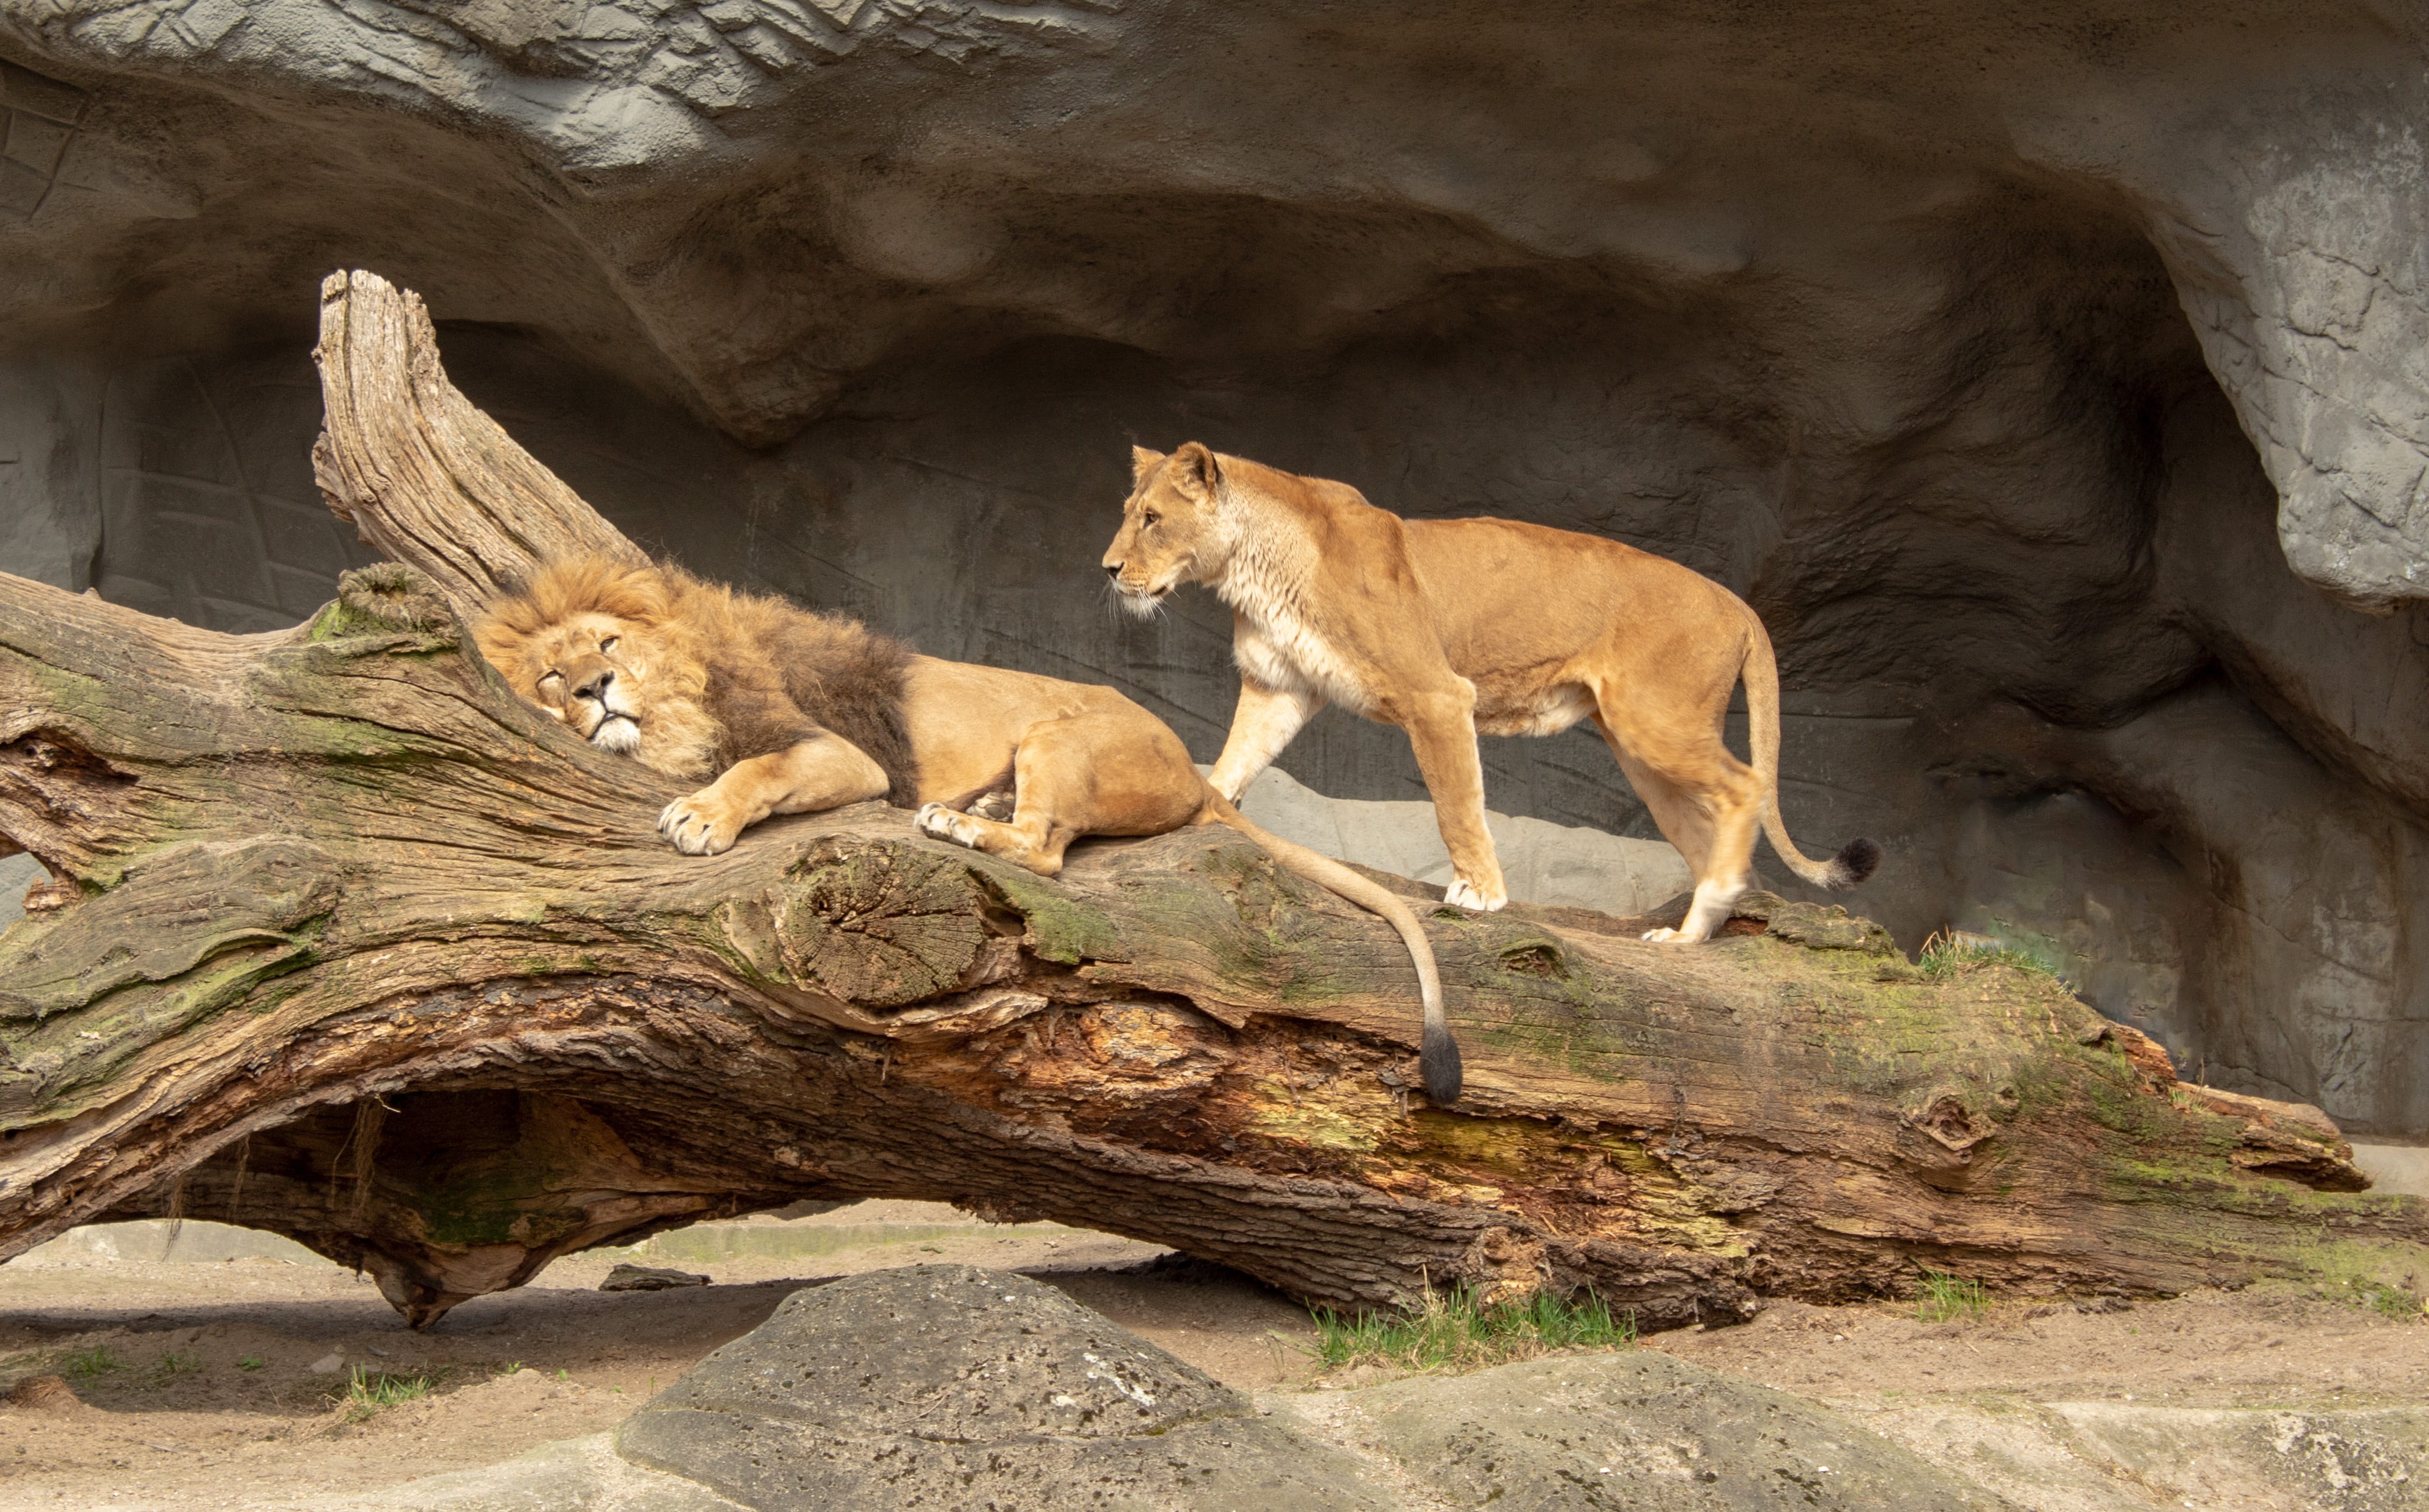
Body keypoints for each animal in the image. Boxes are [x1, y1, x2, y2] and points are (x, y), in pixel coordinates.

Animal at [473, 554, 1465, 1102]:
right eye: (553, 676)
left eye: (607, 646)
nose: (596, 689)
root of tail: (1192, 769)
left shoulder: (845, 756)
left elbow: (755, 769)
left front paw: (699, 812)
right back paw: (977, 808)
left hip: (1056, 732)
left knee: (1047, 853)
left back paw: (961, 823)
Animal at [1102, 444, 1880, 944]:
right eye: (1129, 511)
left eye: (1151, 519)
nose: (1108, 569)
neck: (1254, 567)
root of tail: (1736, 603)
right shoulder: (1280, 686)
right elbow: (1234, 760)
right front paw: (1199, 808)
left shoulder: (1437, 694)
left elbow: (1455, 804)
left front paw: (1479, 893)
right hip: (1643, 755)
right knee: (1703, 828)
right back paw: (1690, 933)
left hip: (1656, 721)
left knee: (1745, 785)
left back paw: (1709, 906)